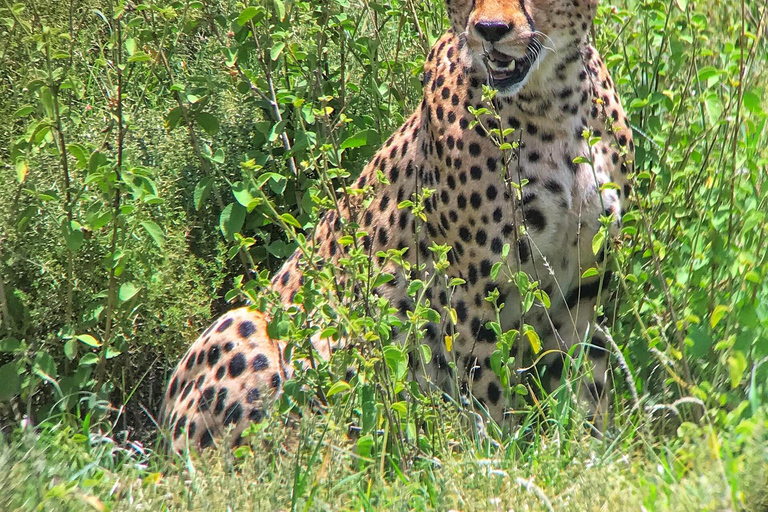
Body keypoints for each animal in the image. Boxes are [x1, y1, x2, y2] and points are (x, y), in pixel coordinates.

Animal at [160, 0, 632, 450]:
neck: (553, 99)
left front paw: (594, 452)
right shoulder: (475, 295)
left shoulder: (585, 286)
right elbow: (488, 395)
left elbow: (589, 387)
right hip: (245, 323)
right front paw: (495, 461)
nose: (490, 30)